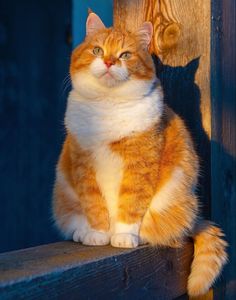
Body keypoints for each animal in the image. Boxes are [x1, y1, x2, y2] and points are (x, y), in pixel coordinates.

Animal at [52, 12, 228, 296]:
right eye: (97, 50)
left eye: (125, 54)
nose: (109, 61)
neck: (108, 106)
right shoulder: (83, 163)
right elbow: (94, 203)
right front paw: (97, 233)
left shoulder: (140, 163)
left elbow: (132, 203)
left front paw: (123, 235)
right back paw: (81, 231)